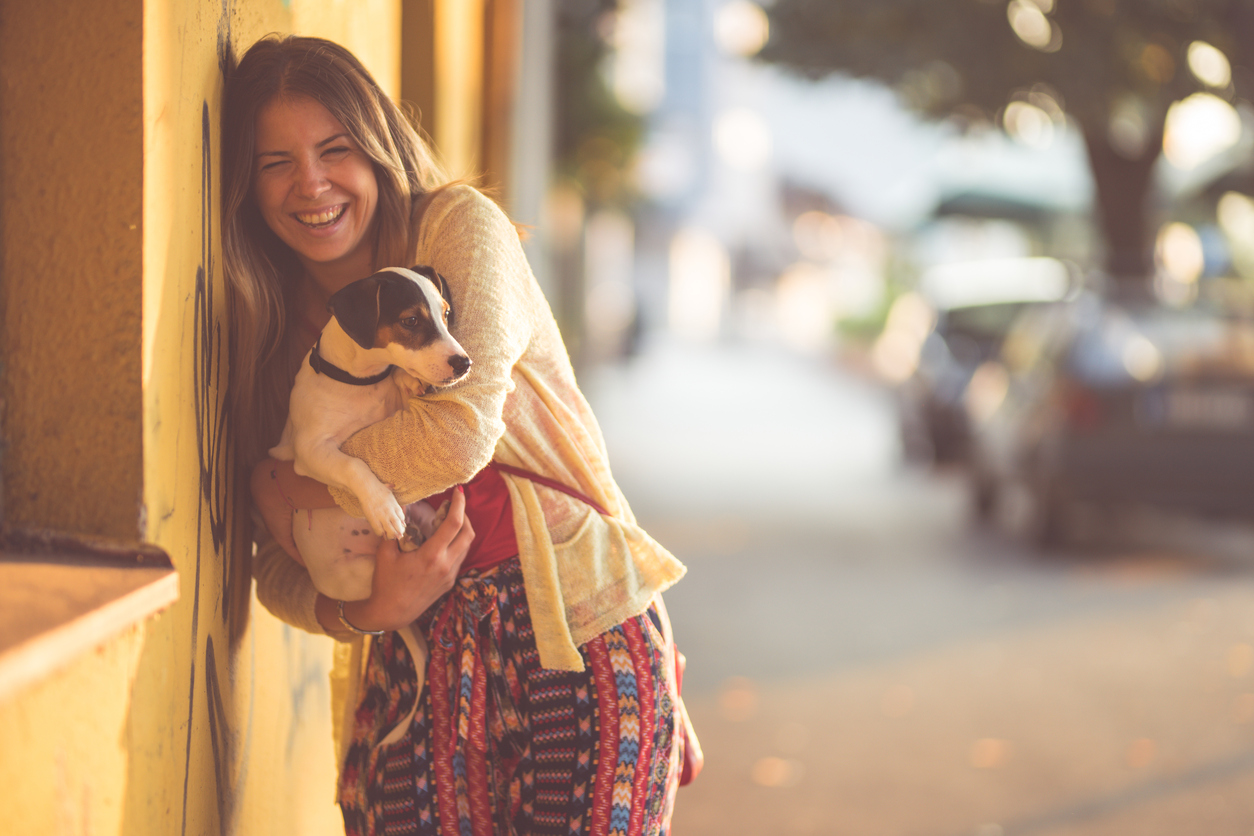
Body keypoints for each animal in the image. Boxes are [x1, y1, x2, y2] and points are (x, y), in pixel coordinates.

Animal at [269, 264, 471, 604]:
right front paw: (382, 508)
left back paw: (433, 524)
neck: (362, 382)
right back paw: (407, 539)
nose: (464, 363)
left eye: (445, 314)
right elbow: (352, 465)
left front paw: (407, 380)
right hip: (361, 576)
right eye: (411, 321)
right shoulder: (310, 451)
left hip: (419, 508)